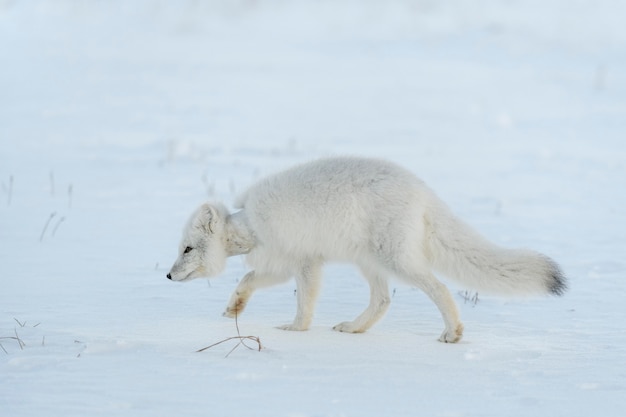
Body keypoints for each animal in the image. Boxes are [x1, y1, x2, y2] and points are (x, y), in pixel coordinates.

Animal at [166, 156, 564, 342]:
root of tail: (423, 191)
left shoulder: (305, 262)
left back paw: (452, 333)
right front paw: (234, 308)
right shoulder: (282, 263)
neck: (251, 224)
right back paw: (354, 329)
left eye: (187, 249)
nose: (168, 275)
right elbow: (247, 278)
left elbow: (303, 302)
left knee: (438, 288)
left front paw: (295, 330)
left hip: (395, 259)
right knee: (383, 301)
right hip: (368, 262)